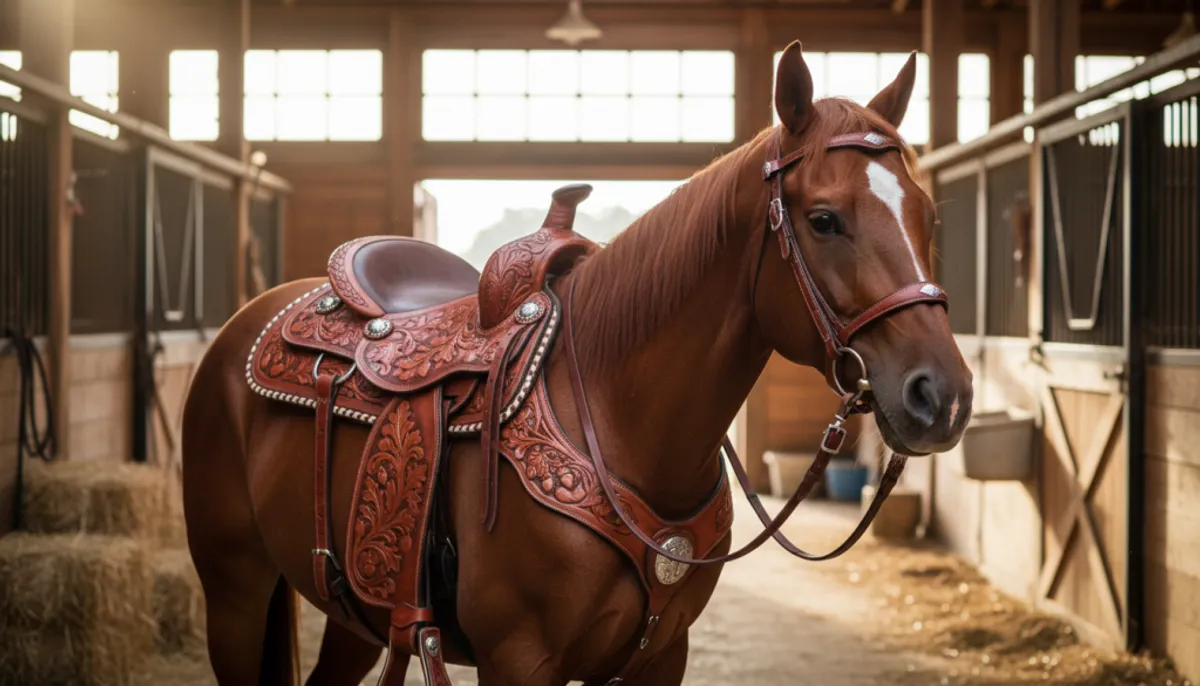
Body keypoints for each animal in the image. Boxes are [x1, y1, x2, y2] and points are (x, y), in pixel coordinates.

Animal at [180, 40, 973, 686]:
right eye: (824, 219)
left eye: (931, 217)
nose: (943, 396)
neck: (619, 427)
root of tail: (250, 321)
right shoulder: (518, 662)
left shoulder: (662, 658)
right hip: (234, 588)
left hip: (356, 612)